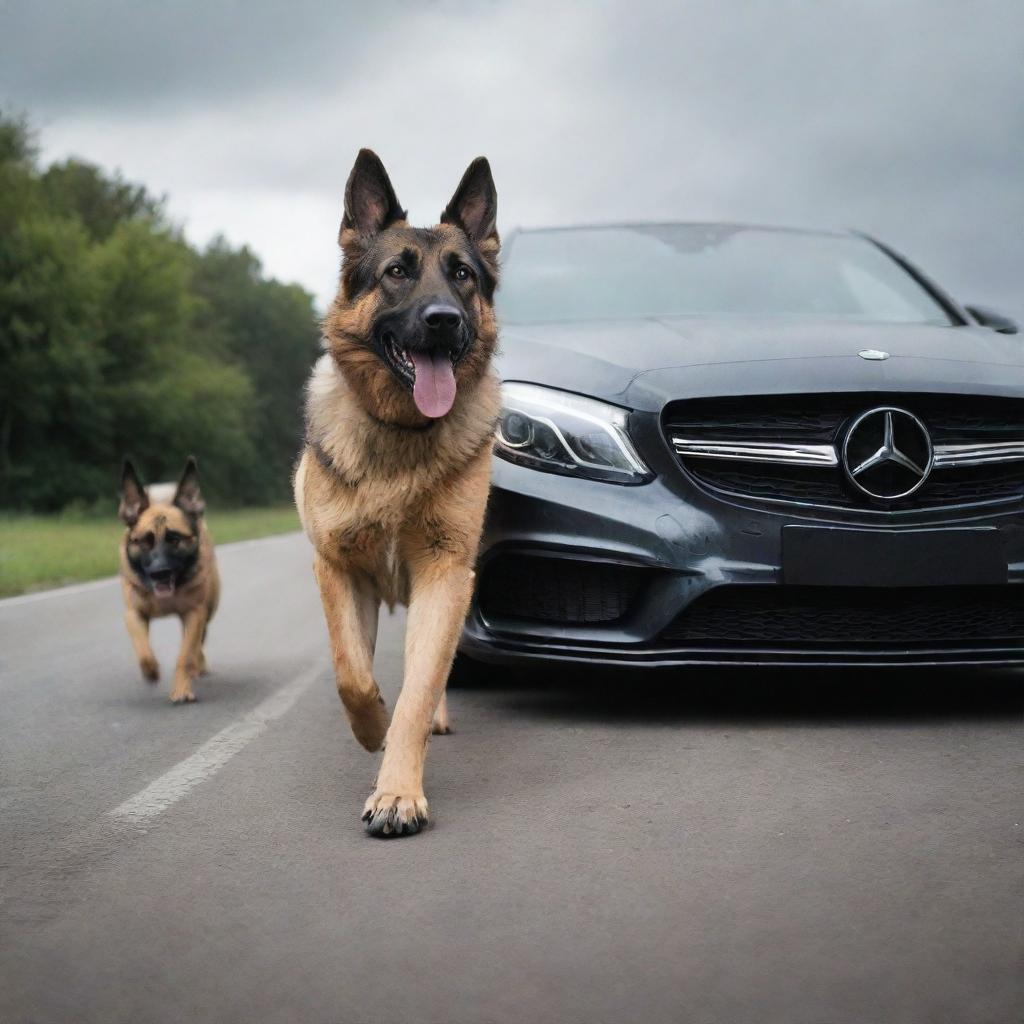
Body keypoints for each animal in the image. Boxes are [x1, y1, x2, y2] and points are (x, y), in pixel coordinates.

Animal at [117, 458, 218, 704]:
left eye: (174, 539)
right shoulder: (133, 614)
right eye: (145, 541)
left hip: (207, 612)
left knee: (198, 643)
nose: (159, 572)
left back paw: (197, 667)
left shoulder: (194, 613)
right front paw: (151, 670)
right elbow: (142, 647)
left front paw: (181, 688)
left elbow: (186, 654)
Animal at [294, 148, 501, 835]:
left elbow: (418, 688)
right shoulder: (337, 567)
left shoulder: (445, 573)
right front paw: (372, 728)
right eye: (395, 273)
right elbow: (351, 675)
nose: (444, 321)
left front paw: (397, 794)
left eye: (462, 274)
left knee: (428, 677)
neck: (401, 433)